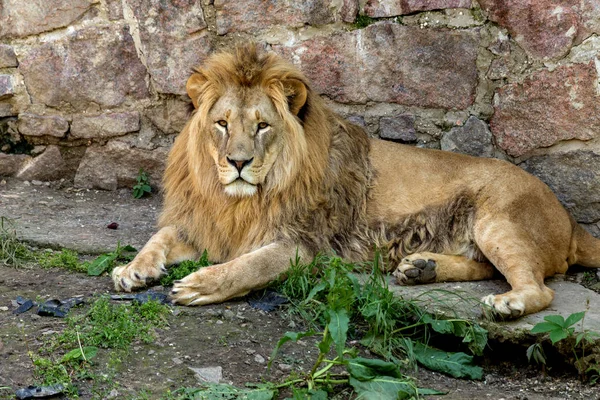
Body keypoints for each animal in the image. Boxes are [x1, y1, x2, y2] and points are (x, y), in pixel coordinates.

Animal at [112, 43, 600, 318]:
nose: (237, 162)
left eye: (262, 126)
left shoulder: (304, 245)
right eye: (221, 123)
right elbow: (159, 237)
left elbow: (249, 267)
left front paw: (200, 285)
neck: (237, 200)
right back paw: (421, 267)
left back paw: (506, 303)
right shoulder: (208, 224)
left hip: (498, 220)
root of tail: (571, 222)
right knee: (488, 268)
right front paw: (132, 269)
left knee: (538, 288)